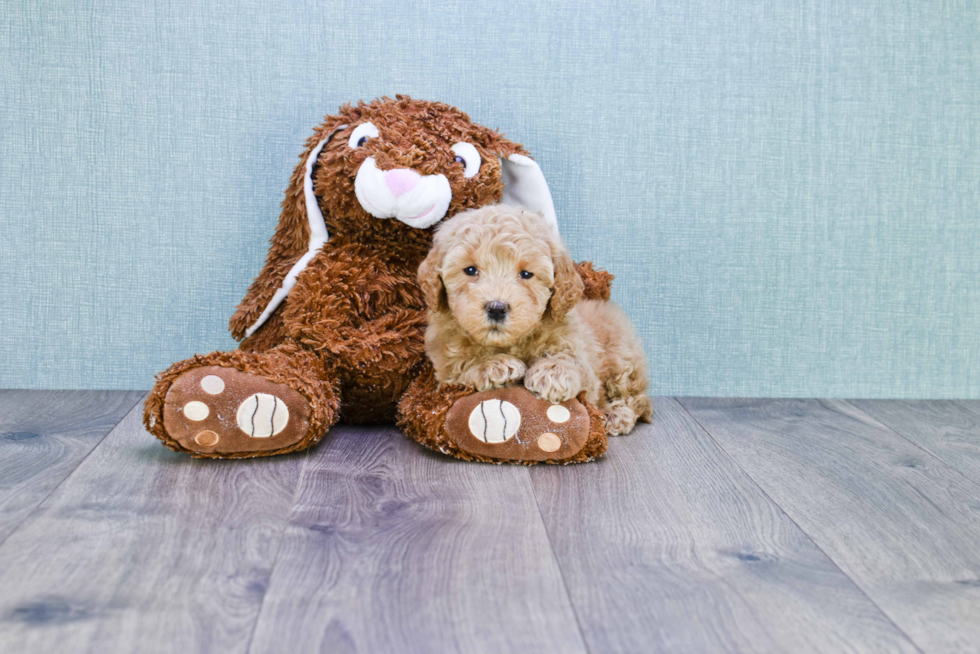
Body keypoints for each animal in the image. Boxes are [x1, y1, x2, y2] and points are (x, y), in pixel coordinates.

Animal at [420, 208, 656, 438]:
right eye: (470, 270)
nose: (496, 308)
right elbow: (460, 371)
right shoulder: (444, 371)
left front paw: (553, 373)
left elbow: (574, 364)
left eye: (526, 274)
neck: (510, 343)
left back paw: (616, 415)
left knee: (637, 399)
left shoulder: (579, 356)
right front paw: (494, 365)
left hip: (623, 358)